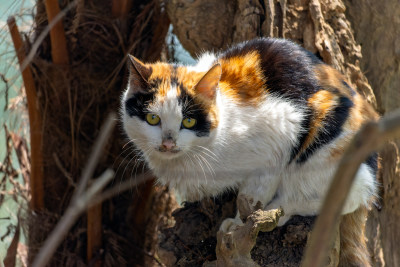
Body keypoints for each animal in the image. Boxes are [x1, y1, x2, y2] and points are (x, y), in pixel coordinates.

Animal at [121, 37, 378, 266]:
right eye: (153, 118)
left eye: (189, 121)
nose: (168, 143)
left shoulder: (280, 136)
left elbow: (253, 195)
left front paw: (239, 224)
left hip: (325, 149)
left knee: (343, 198)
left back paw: (279, 209)